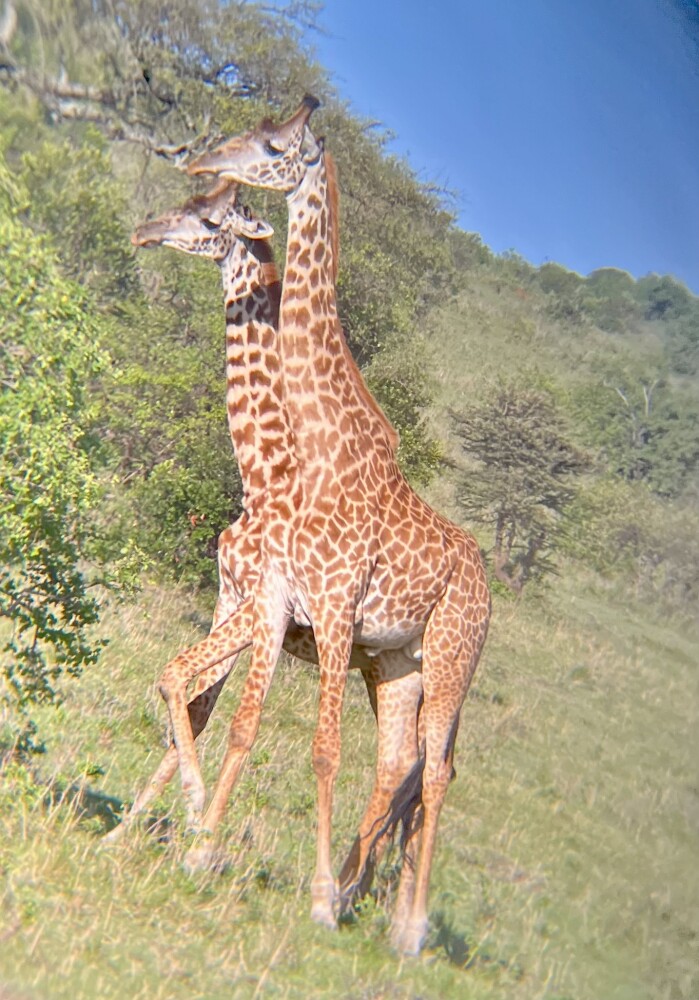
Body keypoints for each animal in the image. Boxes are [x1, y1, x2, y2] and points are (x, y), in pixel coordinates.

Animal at [108, 180, 423, 863]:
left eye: (208, 218)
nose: (145, 230)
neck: (271, 471)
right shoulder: (231, 595)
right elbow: (195, 702)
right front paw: (132, 829)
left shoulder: (260, 606)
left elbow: (213, 704)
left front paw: (195, 819)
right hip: (385, 671)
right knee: (405, 767)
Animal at [185, 97, 491, 955]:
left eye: (273, 145)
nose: (198, 159)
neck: (317, 452)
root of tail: (490, 589)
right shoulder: (282, 603)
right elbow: (229, 713)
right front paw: (194, 840)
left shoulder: (327, 607)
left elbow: (318, 750)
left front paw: (313, 897)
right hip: (396, 666)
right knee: (402, 764)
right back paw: (366, 894)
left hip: (451, 657)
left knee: (435, 770)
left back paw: (403, 925)